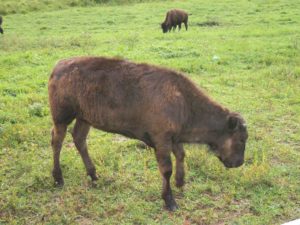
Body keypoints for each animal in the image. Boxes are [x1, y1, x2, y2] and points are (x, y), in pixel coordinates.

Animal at [47, 56, 248, 211]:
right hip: (62, 117)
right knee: (57, 141)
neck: (184, 102)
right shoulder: (162, 140)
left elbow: (181, 155)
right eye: (241, 139)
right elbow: (166, 169)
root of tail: (58, 66)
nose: (239, 163)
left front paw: (180, 182)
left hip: (84, 118)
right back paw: (58, 179)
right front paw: (170, 201)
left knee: (79, 139)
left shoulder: (174, 139)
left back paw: (94, 176)